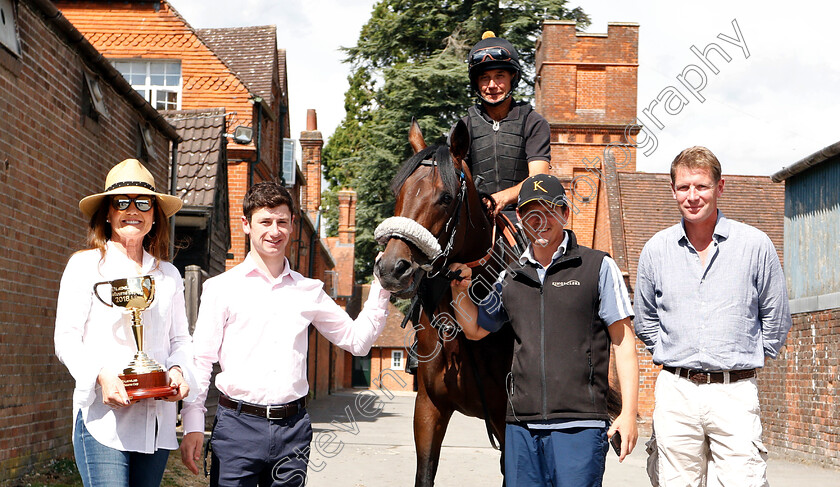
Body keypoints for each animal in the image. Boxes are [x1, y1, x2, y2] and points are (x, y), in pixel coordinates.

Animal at [376, 119, 520, 487]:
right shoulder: (429, 409)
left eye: (446, 197)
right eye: (399, 192)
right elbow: (425, 472)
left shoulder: (509, 420)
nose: (392, 268)